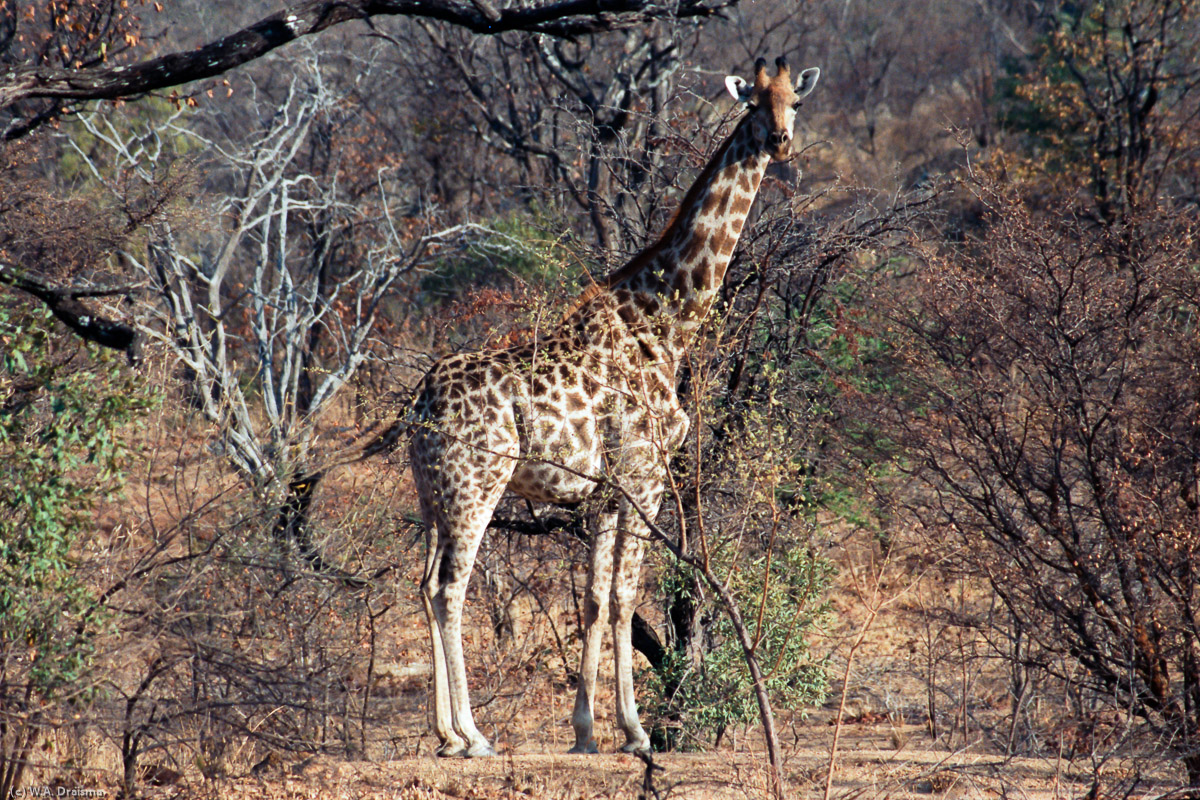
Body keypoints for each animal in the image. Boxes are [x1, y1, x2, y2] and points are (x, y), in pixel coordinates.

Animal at [408, 56, 820, 758]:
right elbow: (627, 595)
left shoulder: (605, 491)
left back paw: (445, 734)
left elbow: (597, 599)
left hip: (432, 494)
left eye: (794, 101)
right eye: (753, 103)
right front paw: (635, 731)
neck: (670, 323)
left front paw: (586, 732)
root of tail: (421, 404)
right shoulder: (644, 474)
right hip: (475, 486)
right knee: (449, 587)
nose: (780, 140)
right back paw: (472, 735)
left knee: (423, 582)